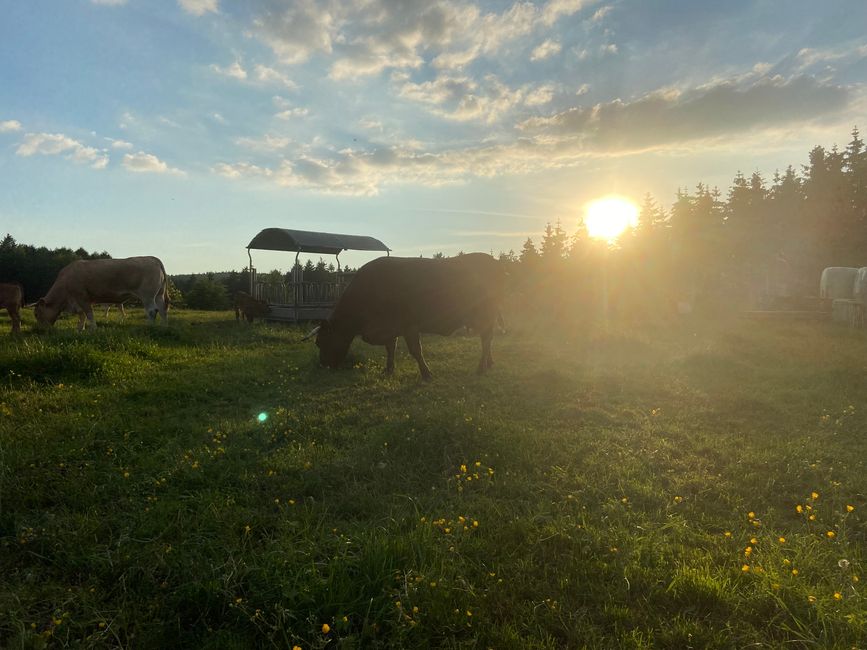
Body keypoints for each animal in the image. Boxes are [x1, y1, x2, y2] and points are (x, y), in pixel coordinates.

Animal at [306, 251, 506, 378]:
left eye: (320, 341)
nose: (323, 365)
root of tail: (494, 262)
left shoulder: (409, 326)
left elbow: (416, 351)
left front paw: (426, 373)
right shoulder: (389, 327)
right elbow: (390, 348)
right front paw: (388, 370)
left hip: (485, 315)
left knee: (486, 339)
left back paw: (481, 368)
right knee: (488, 339)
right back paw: (489, 363)